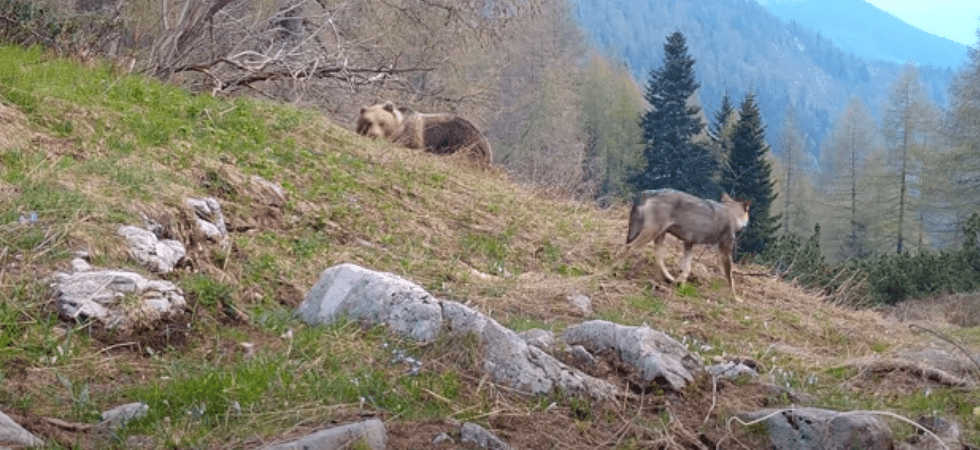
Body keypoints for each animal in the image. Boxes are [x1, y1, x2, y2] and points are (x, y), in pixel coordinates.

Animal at [355, 101, 493, 167]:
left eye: (382, 123)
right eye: (368, 122)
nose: (374, 135)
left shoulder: (414, 133)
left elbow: (410, 143)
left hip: (463, 141)